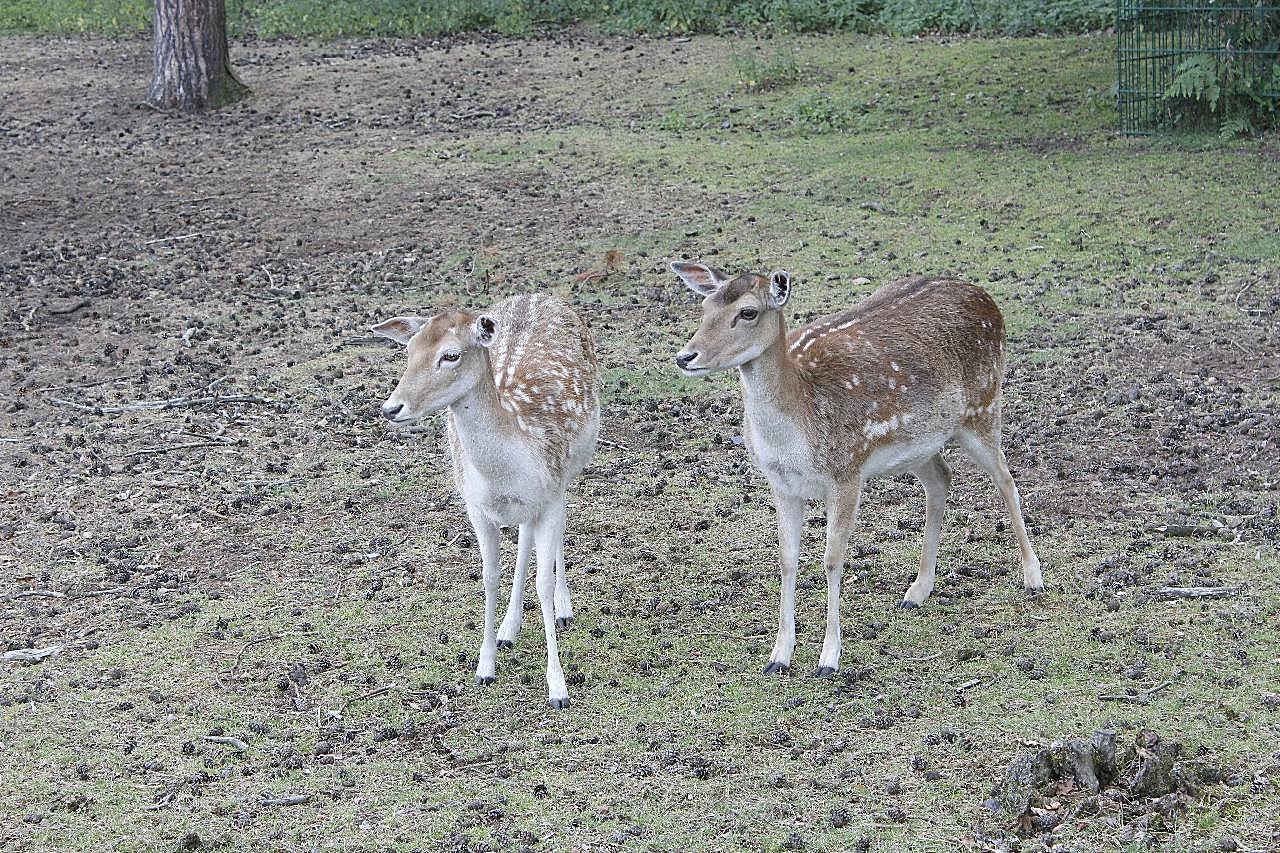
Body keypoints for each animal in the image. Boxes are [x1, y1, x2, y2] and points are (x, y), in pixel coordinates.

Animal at [373, 292, 599, 701]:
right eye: (409, 350)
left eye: (450, 355)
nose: (392, 408)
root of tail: (537, 295)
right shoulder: (476, 508)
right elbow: (489, 576)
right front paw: (485, 666)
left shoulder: (550, 493)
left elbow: (542, 583)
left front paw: (557, 686)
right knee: (524, 537)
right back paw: (509, 629)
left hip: (574, 466)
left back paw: (563, 607)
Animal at [670, 262, 1039, 676]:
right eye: (705, 307)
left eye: (747, 312)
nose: (686, 356)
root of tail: (987, 299)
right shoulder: (781, 483)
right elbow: (786, 559)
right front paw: (778, 656)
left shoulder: (847, 471)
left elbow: (832, 560)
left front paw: (828, 658)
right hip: (920, 444)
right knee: (941, 478)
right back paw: (917, 590)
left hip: (984, 405)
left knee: (1006, 479)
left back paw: (1033, 577)